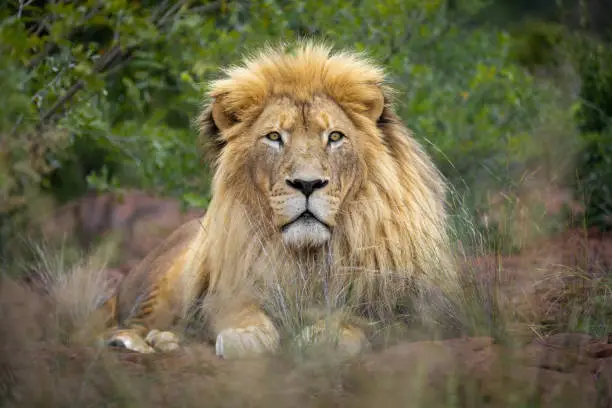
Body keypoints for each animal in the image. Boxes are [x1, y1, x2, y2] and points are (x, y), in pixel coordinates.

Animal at [99, 41, 454, 358]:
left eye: (335, 137)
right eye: (274, 137)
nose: (307, 184)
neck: (306, 257)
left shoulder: (403, 310)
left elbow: (358, 322)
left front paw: (326, 337)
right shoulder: (228, 288)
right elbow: (239, 310)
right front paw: (246, 338)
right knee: (127, 323)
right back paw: (140, 341)